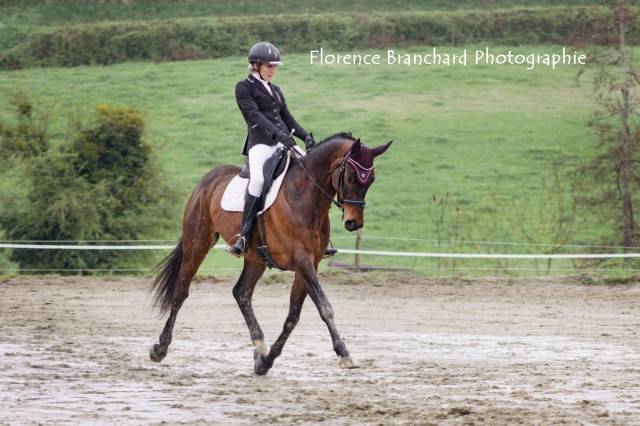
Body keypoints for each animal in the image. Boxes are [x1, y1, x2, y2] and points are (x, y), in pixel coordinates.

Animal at [149, 132, 392, 375]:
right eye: (350, 176)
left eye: (371, 180)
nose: (353, 223)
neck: (304, 197)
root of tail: (207, 180)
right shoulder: (302, 262)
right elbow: (325, 307)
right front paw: (344, 353)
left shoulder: (309, 264)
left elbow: (293, 315)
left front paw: (268, 360)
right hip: (197, 243)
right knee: (181, 292)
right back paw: (160, 348)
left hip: (256, 258)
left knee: (242, 293)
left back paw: (259, 348)